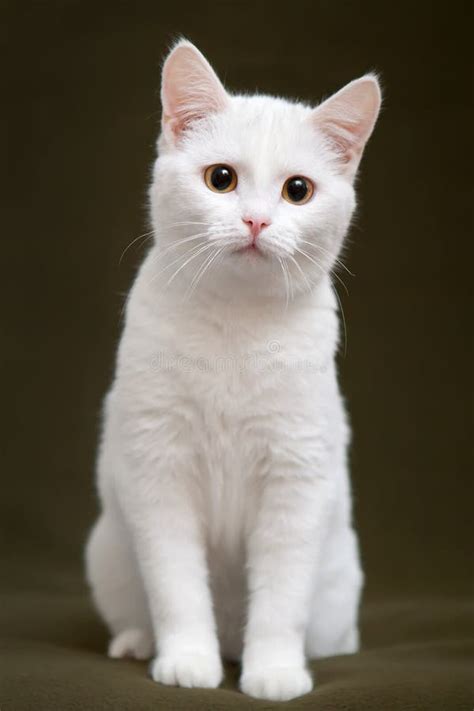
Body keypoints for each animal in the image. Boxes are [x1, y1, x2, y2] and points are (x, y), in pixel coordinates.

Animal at [85, 39, 382, 700]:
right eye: (221, 179)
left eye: (298, 190)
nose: (256, 221)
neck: (235, 327)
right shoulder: (158, 467)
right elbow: (175, 587)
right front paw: (186, 661)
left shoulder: (296, 475)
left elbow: (279, 599)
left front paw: (273, 671)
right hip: (109, 550)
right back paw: (139, 643)